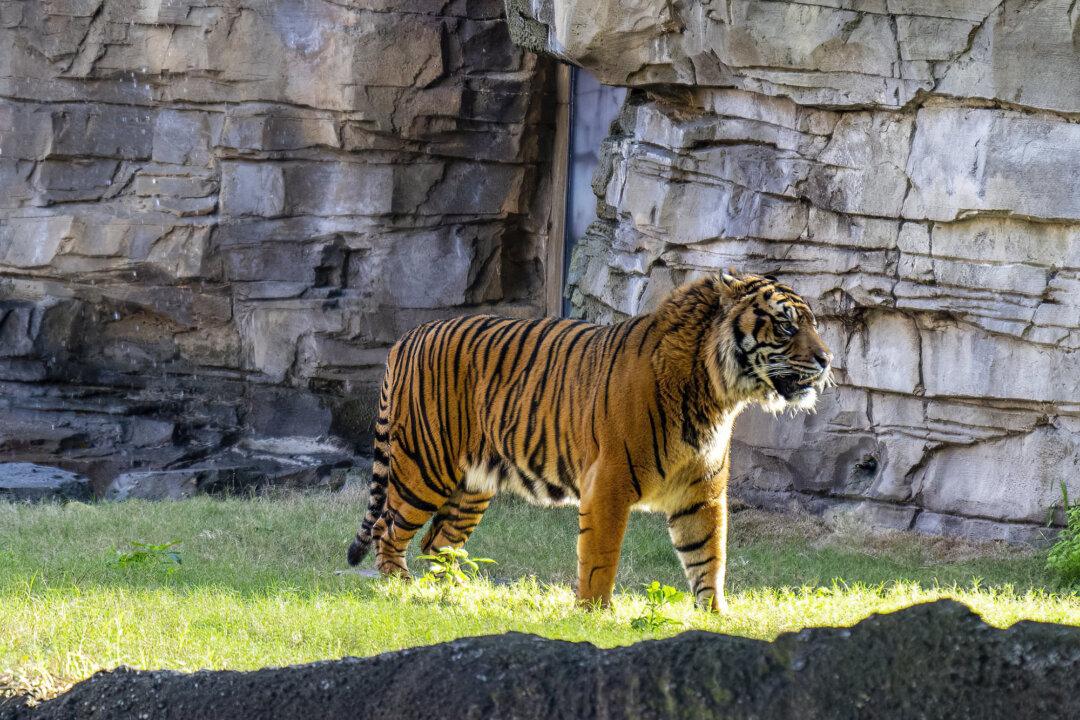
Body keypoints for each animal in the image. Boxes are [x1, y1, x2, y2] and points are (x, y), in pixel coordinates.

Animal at [346, 270, 832, 611]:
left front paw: (715, 616)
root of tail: (407, 337)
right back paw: (399, 588)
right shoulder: (609, 483)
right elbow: (601, 556)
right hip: (424, 467)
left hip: (473, 487)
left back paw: (460, 593)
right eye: (787, 327)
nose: (827, 360)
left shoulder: (702, 492)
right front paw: (595, 614)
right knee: (389, 529)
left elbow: (708, 556)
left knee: (437, 542)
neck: (716, 392)